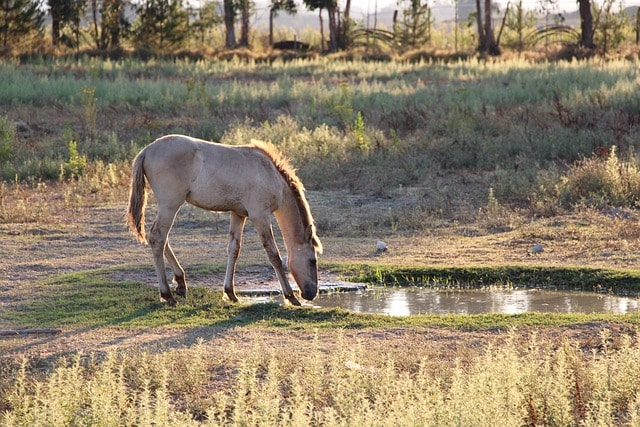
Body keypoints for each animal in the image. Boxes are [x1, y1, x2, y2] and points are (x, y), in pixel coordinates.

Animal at [125, 134, 323, 307]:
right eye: (312, 261)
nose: (311, 294)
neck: (270, 175)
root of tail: (147, 150)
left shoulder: (238, 214)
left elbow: (233, 250)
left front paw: (230, 292)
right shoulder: (260, 216)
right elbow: (273, 255)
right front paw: (290, 296)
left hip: (169, 207)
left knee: (161, 239)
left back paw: (180, 283)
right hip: (170, 205)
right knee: (158, 237)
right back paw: (167, 295)